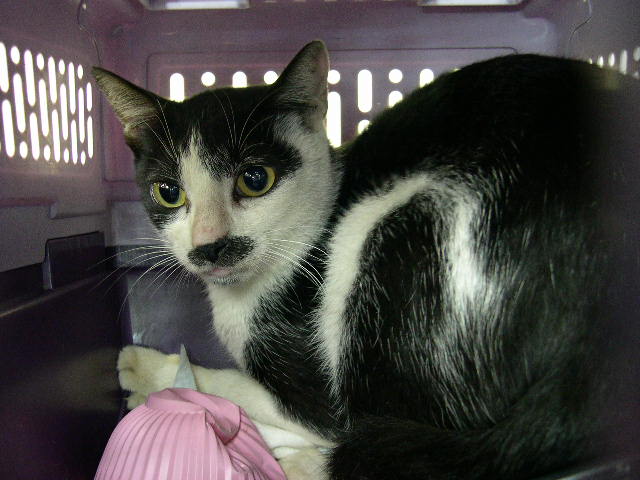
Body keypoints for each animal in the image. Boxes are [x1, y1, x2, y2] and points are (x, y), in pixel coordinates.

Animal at [93, 41, 639, 479]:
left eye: (255, 179)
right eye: (168, 192)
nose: (209, 245)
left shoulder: (312, 396)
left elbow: (231, 385)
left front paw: (143, 369)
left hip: (394, 235)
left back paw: (305, 464)